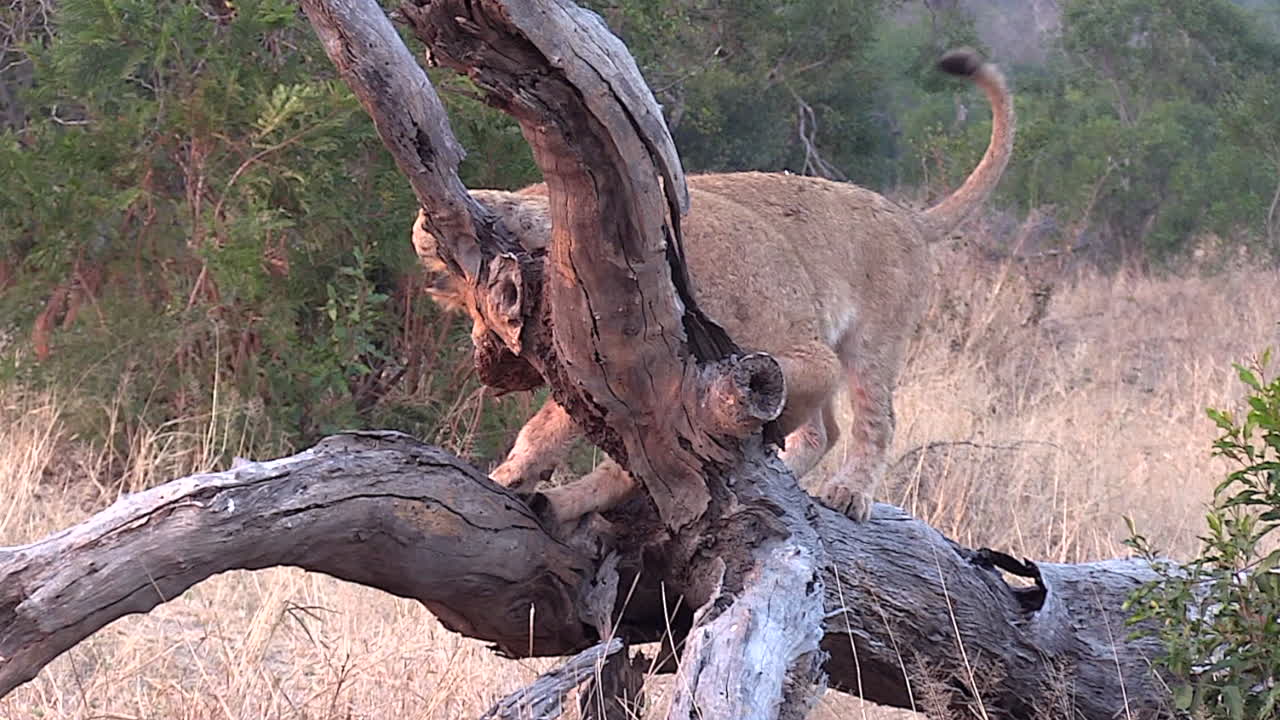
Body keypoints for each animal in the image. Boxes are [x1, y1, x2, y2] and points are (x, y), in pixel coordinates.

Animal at [413, 48, 1015, 523]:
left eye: (500, 304)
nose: (490, 362)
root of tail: (908, 216)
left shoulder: (633, 367)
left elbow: (555, 427)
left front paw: (512, 472)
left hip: (870, 344)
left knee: (874, 421)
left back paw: (847, 493)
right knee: (822, 431)